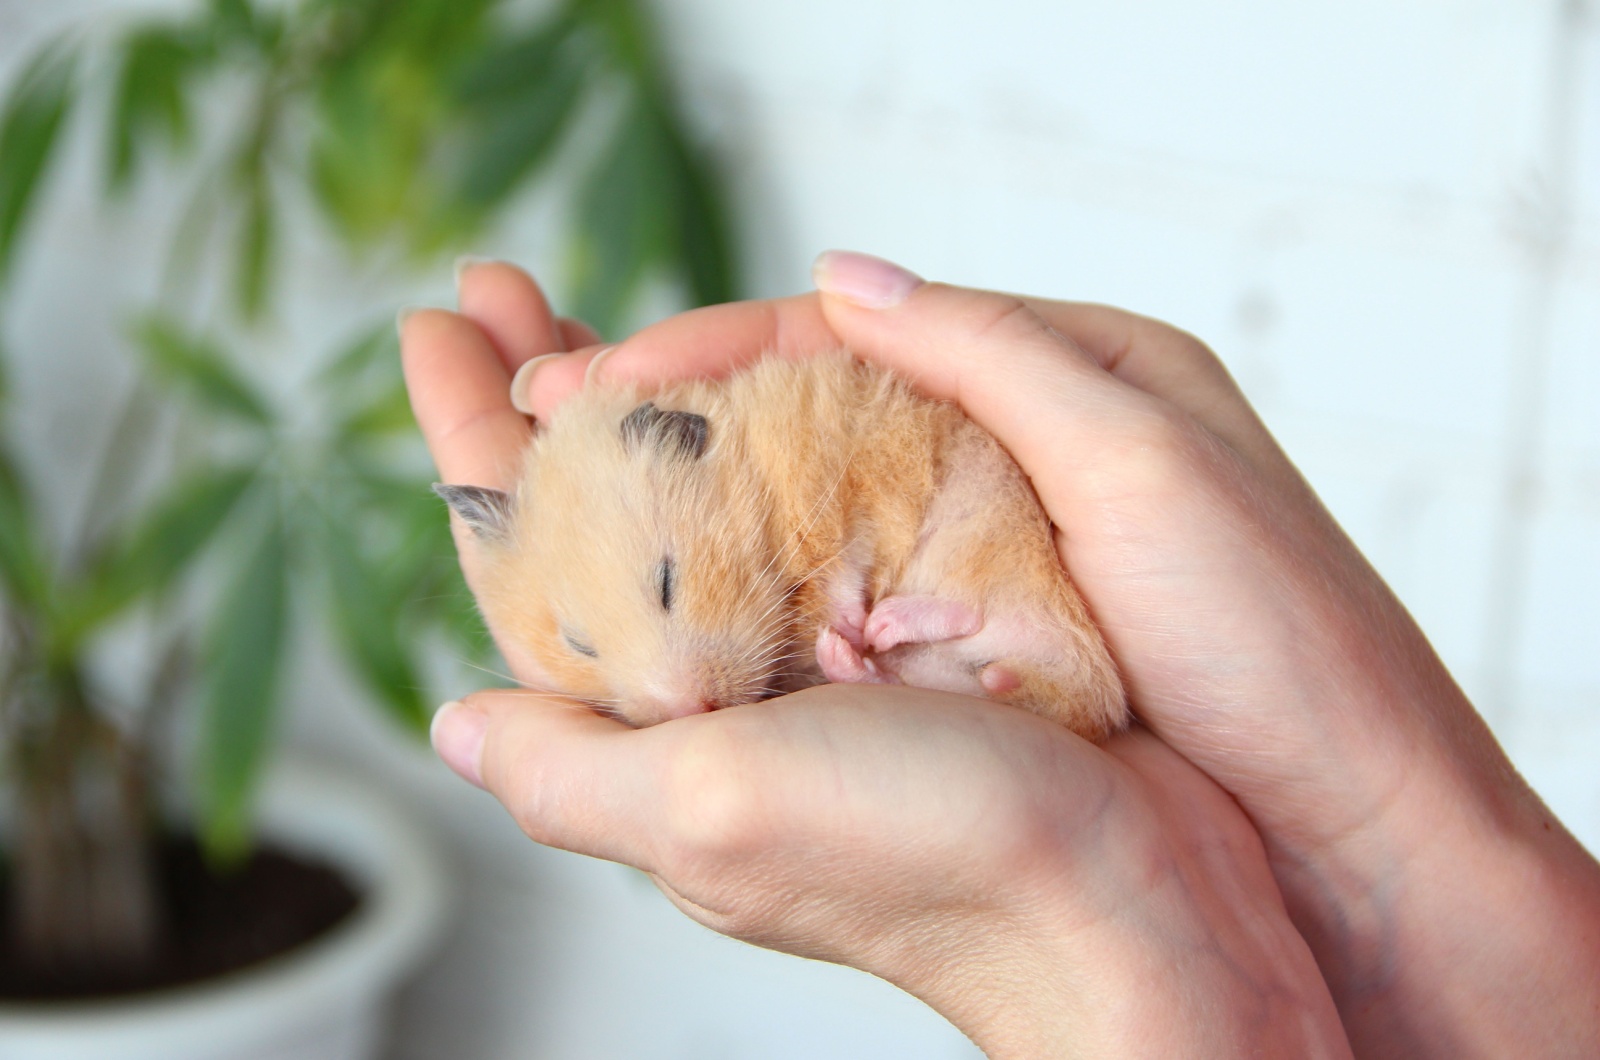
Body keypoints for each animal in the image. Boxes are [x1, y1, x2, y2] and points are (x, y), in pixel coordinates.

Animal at [438, 352, 1126, 742]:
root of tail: (1096, 700)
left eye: (668, 583)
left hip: (988, 524)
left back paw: (878, 625)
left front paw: (849, 618)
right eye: (579, 644)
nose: (692, 710)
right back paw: (854, 655)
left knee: (972, 607)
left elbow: (847, 559)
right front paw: (842, 635)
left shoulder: (852, 479)